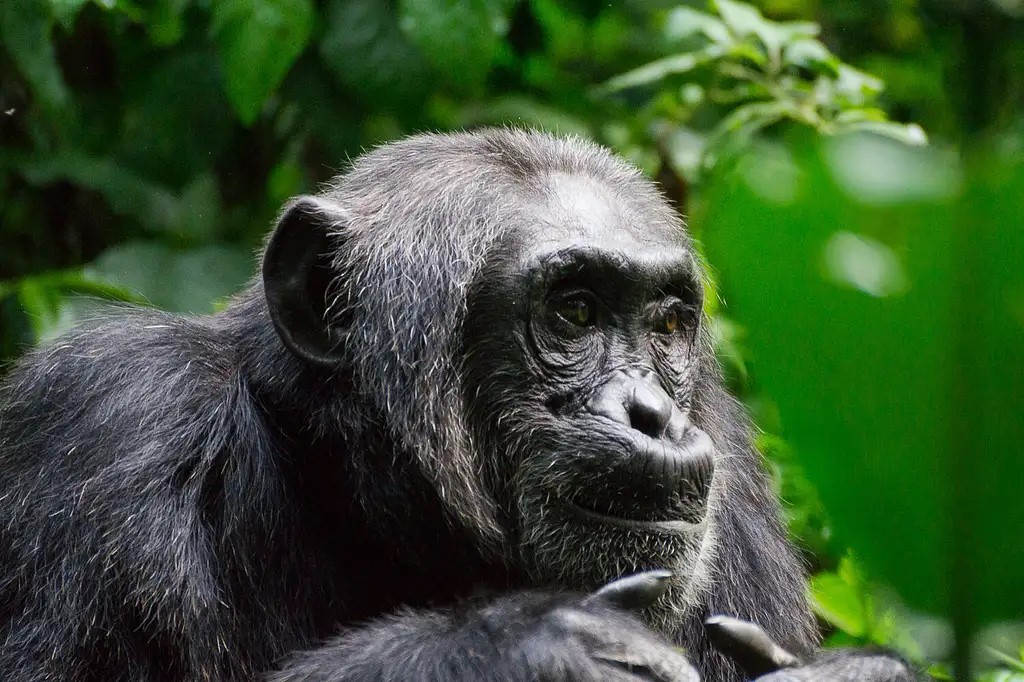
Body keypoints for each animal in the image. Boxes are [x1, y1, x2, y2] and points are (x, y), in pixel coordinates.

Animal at [0, 130, 913, 675]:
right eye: (574, 311)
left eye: (665, 324)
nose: (652, 413)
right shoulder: (103, 422)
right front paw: (530, 643)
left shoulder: (741, 508)